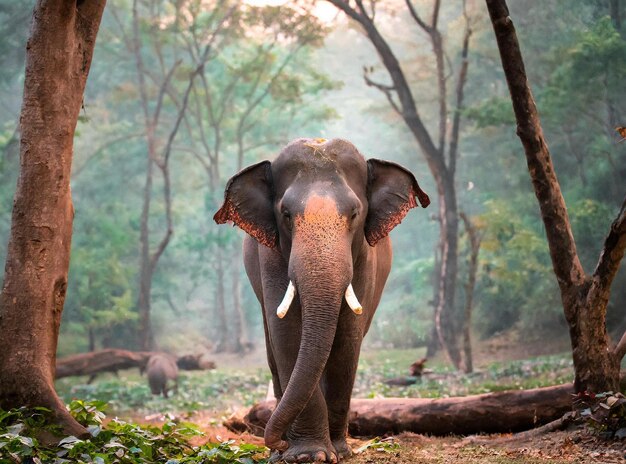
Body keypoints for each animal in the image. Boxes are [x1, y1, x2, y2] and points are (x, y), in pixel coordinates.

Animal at [212, 139, 426, 464]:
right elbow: (288, 334)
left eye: (355, 213)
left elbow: (347, 338)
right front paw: (307, 455)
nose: (277, 443)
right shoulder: (270, 256)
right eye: (286, 214)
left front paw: (337, 452)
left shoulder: (365, 260)